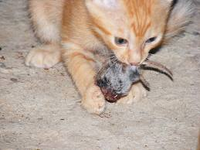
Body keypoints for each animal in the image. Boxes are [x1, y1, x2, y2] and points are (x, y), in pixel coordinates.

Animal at [26, 0, 194, 113]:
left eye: (151, 39)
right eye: (120, 40)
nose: (134, 61)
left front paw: (133, 86)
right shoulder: (71, 43)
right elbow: (79, 67)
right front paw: (91, 95)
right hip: (39, 10)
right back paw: (48, 51)